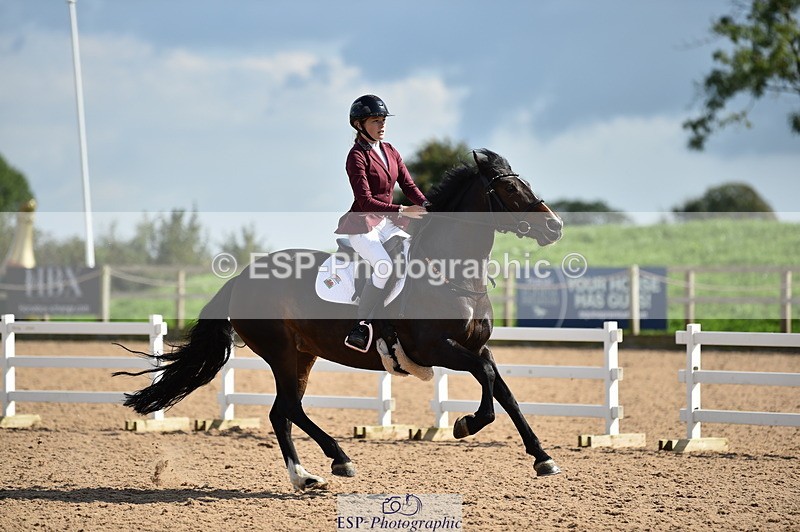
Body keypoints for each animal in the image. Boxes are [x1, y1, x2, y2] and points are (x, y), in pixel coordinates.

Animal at [116, 148, 565, 491]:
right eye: (509, 188)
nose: (555, 226)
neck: (452, 273)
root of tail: (241, 278)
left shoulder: (475, 346)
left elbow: (504, 391)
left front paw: (542, 457)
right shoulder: (437, 349)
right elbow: (486, 380)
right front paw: (466, 424)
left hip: (302, 354)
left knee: (282, 413)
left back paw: (306, 476)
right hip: (280, 352)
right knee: (288, 408)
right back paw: (337, 460)